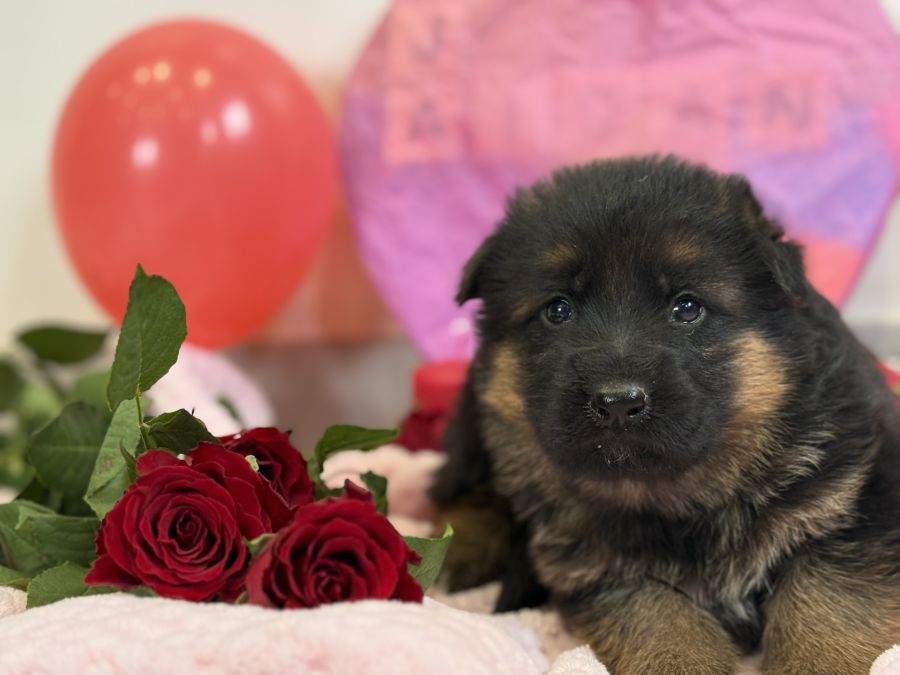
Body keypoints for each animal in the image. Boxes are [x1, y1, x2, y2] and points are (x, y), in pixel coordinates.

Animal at [429, 156, 900, 674]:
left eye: (687, 307)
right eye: (558, 310)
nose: (617, 402)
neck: (688, 497)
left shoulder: (854, 511)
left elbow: (826, 609)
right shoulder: (602, 568)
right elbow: (665, 626)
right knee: (456, 489)